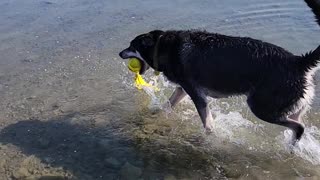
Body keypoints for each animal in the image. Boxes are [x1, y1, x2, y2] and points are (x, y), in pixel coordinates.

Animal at [119, 0, 320, 143]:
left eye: (131, 46)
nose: (120, 53)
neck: (163, 46)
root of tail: (298, 61)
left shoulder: (197, 95)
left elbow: (208, 124)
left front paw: (210, 138)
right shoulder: (183, 89)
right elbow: (167, 105)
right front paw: (155, 114)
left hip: (261, 107)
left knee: (299, 127)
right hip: (290, 106)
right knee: (299, 124)